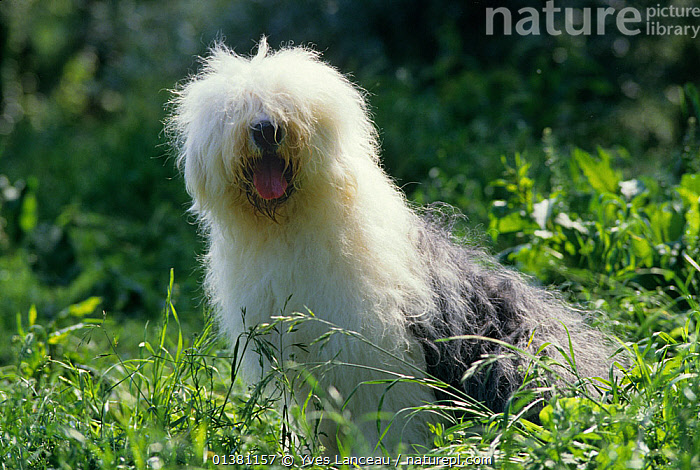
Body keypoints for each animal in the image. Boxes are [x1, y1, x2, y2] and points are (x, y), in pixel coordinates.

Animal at [168, 37, 612, 452]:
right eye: (237, 110)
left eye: (290, 105)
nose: (266, 129)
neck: (289, 226)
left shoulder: (377, 359)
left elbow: (390, 422)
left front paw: (391, 454)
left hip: (519, 359)